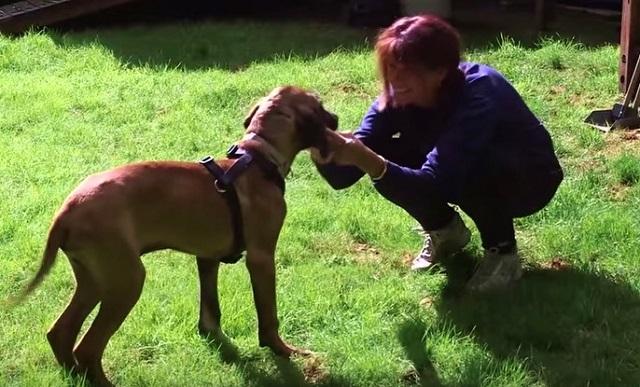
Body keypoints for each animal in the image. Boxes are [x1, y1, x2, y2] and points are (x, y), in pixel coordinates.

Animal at [11, 85, 340, 387]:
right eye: (320, 105)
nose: (336, 119)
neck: (257, 157)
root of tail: (66, 211)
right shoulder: (261, 258)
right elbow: (269, 314)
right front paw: (284, 351)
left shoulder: (207, 257)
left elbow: (210, 310)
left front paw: (216, 341)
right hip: (126, 281)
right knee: (88, 347)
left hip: (96, 279)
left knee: (60, 332)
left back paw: (74, 375)